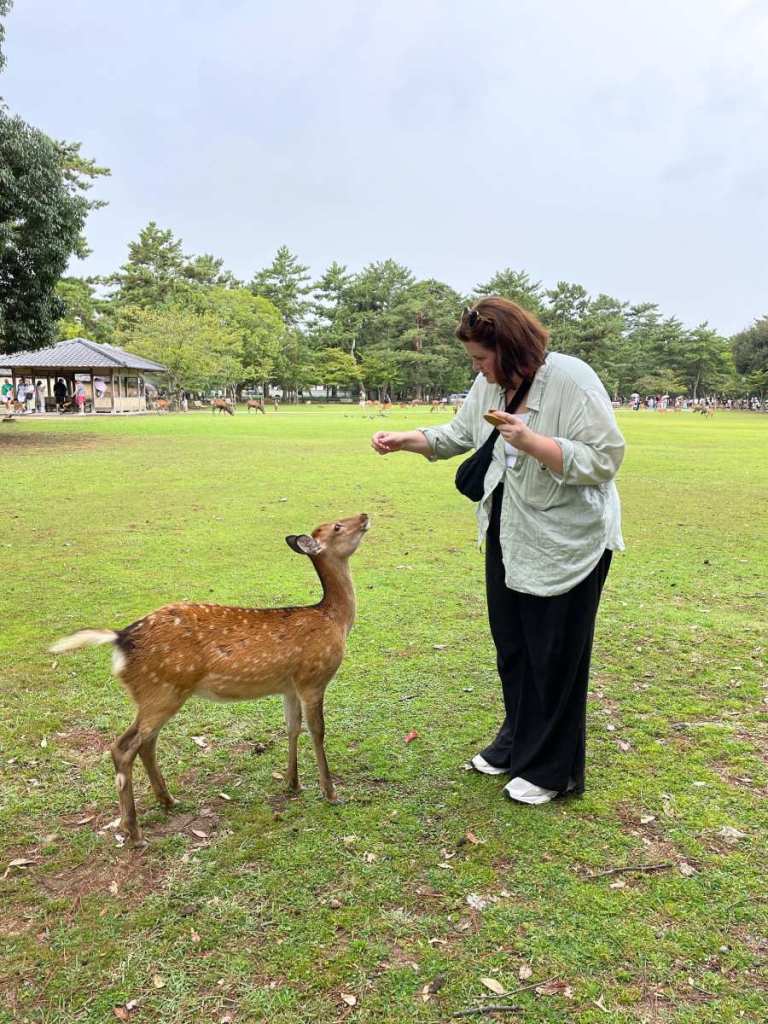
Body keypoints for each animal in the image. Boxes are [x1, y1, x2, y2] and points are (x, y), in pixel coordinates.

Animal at [50, 513, 371, 847]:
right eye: (337, 526)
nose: (364, 516)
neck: (335, 621)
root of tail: (120, 639)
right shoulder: (314, 678)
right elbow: (317, 731)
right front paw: (331, 793)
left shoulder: (289, 686)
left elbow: (292, 728)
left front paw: (293, 783)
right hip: (162, 691)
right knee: (123, 747)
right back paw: (134, 832)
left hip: (156, 694)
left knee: (146, 744)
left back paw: (168, 800)